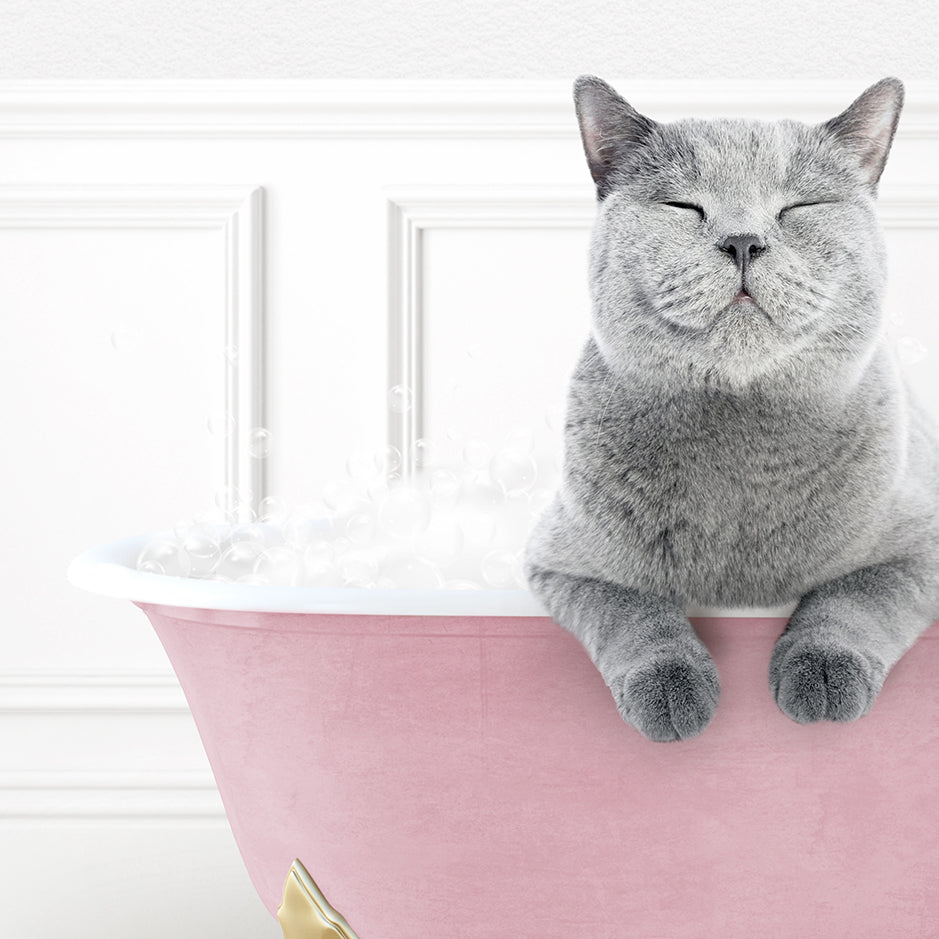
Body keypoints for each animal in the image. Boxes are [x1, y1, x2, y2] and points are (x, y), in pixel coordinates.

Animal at [524, 75, 939, 740]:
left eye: (798, 208)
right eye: (683, 207)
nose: (743, 241)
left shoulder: (921, 545)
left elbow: (853, 599)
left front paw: (822, 675)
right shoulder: (564, 563)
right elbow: (633, 610)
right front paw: (672, 690)